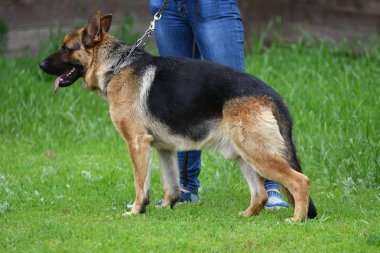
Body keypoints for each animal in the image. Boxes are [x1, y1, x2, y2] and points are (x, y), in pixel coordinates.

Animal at [39, 12, 318, 221]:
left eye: (65, 48)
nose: (40, 65)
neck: (116, 65)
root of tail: (275, 97)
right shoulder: (164, 149)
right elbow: (170, 184)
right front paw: (165, 208)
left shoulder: (137, 143)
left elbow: (140, 184)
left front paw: (136, 210)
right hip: (243, 153)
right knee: (260, 193)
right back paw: (246, 215)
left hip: (256, 152)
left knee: (300, 181)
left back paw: (297, 219)